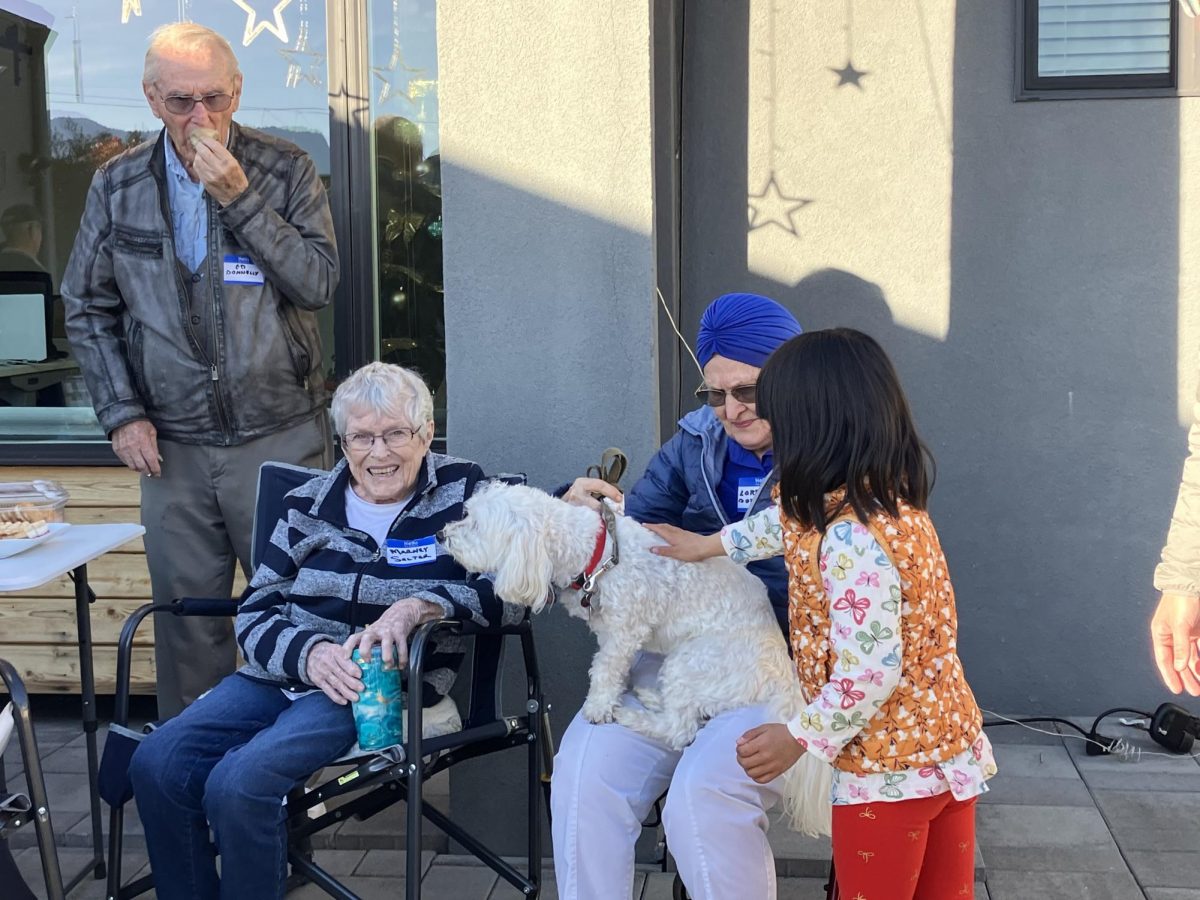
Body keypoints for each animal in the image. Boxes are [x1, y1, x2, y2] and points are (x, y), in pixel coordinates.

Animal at [444, 482, 835, 835]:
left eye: (475, 525)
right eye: (464, 514)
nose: (442, 533)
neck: (597, 554)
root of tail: (783, 674)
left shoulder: (625, 629)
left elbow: (605, 668)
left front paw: (599, 706)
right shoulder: (610, 629)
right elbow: (608, 664)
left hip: (693, 659)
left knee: (679, 729)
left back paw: (631, 714)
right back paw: (651, 697)